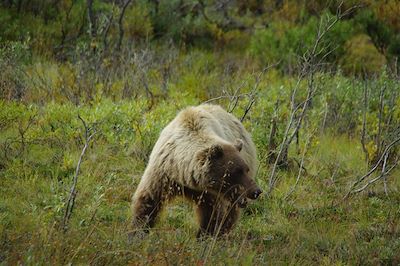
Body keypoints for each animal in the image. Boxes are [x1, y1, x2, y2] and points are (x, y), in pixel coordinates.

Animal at [130, 103, 262, 237]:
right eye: (236, 171)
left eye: (245, 169)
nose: (256, 191)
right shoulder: (163, 171)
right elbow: (148, 199)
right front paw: (138, 229)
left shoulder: (209, 191)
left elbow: (212, 213)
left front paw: (205, 235)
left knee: (231, 211)